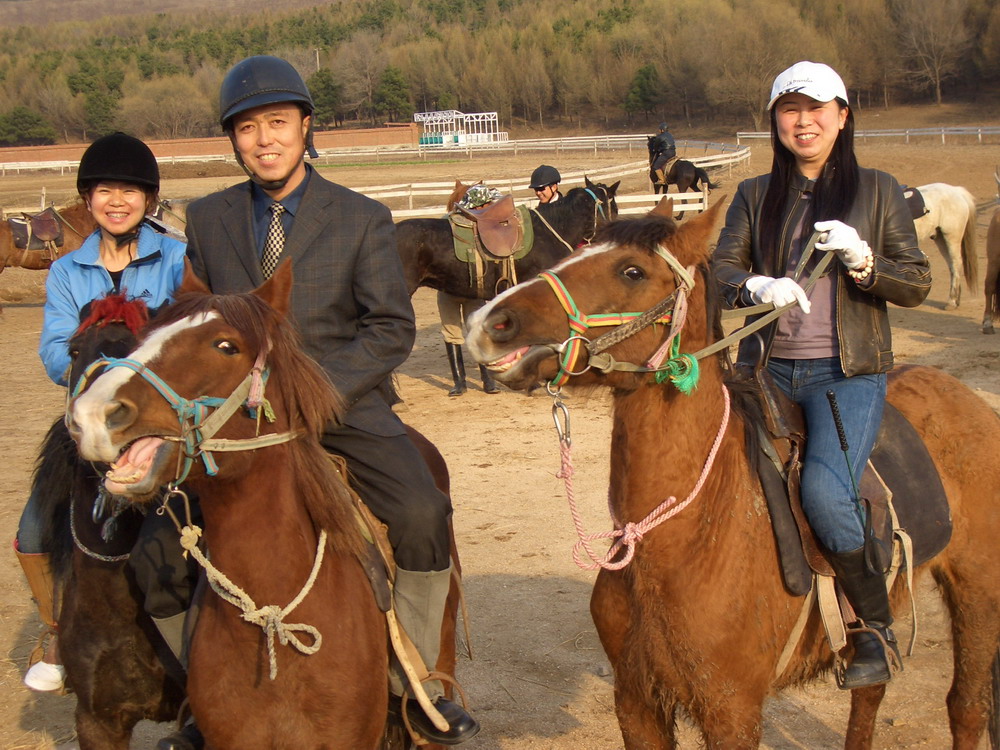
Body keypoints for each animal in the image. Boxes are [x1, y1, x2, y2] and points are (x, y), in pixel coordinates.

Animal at [464, 201, 996, 750]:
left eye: (632, 271)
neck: (685, 535)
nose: (488, 322)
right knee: (871, 693)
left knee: (966, 705)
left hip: (978, 592)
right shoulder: (636, 702)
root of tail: (966, 398)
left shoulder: (731, 711)